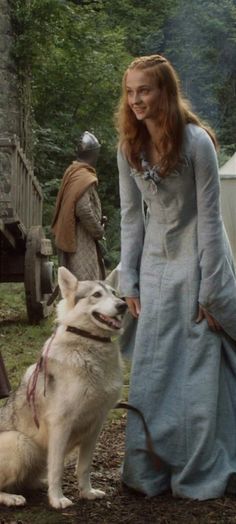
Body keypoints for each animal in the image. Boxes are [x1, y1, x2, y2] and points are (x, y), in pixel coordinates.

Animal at [0, 266, 127, 508]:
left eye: (116, 293)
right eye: (96, 294)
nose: (123, 305)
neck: (91, 345)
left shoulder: (96, 424)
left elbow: (84, 466)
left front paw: (87, 492)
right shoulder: (61, 423)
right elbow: (57, 468)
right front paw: (57, 499)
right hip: (21, 443)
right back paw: (12, 497)